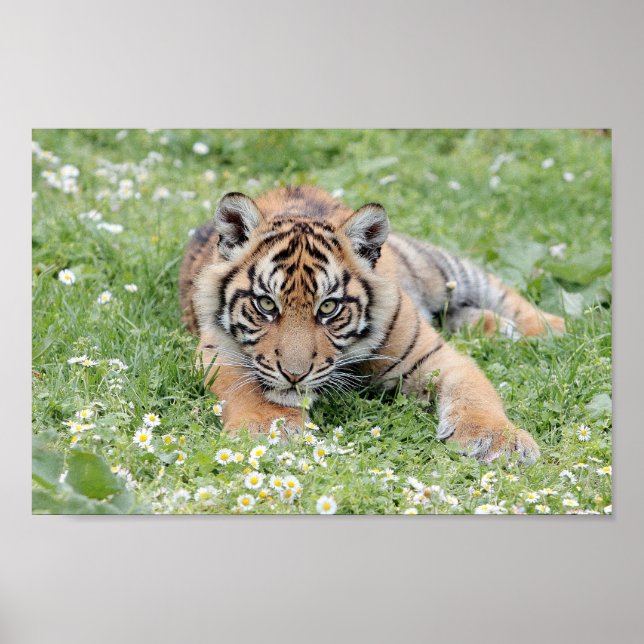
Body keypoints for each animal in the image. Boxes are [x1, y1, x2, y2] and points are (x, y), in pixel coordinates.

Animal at [179, 185, 565, 463]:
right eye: (266, 304)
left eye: (329, 307)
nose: (294, 375)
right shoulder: (217, 349)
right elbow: (242, 387)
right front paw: (266, 429)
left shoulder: (435, 355)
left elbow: (474, 393)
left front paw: (500, 441)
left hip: (439, 269)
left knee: (497, 289)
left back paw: (550, 328)